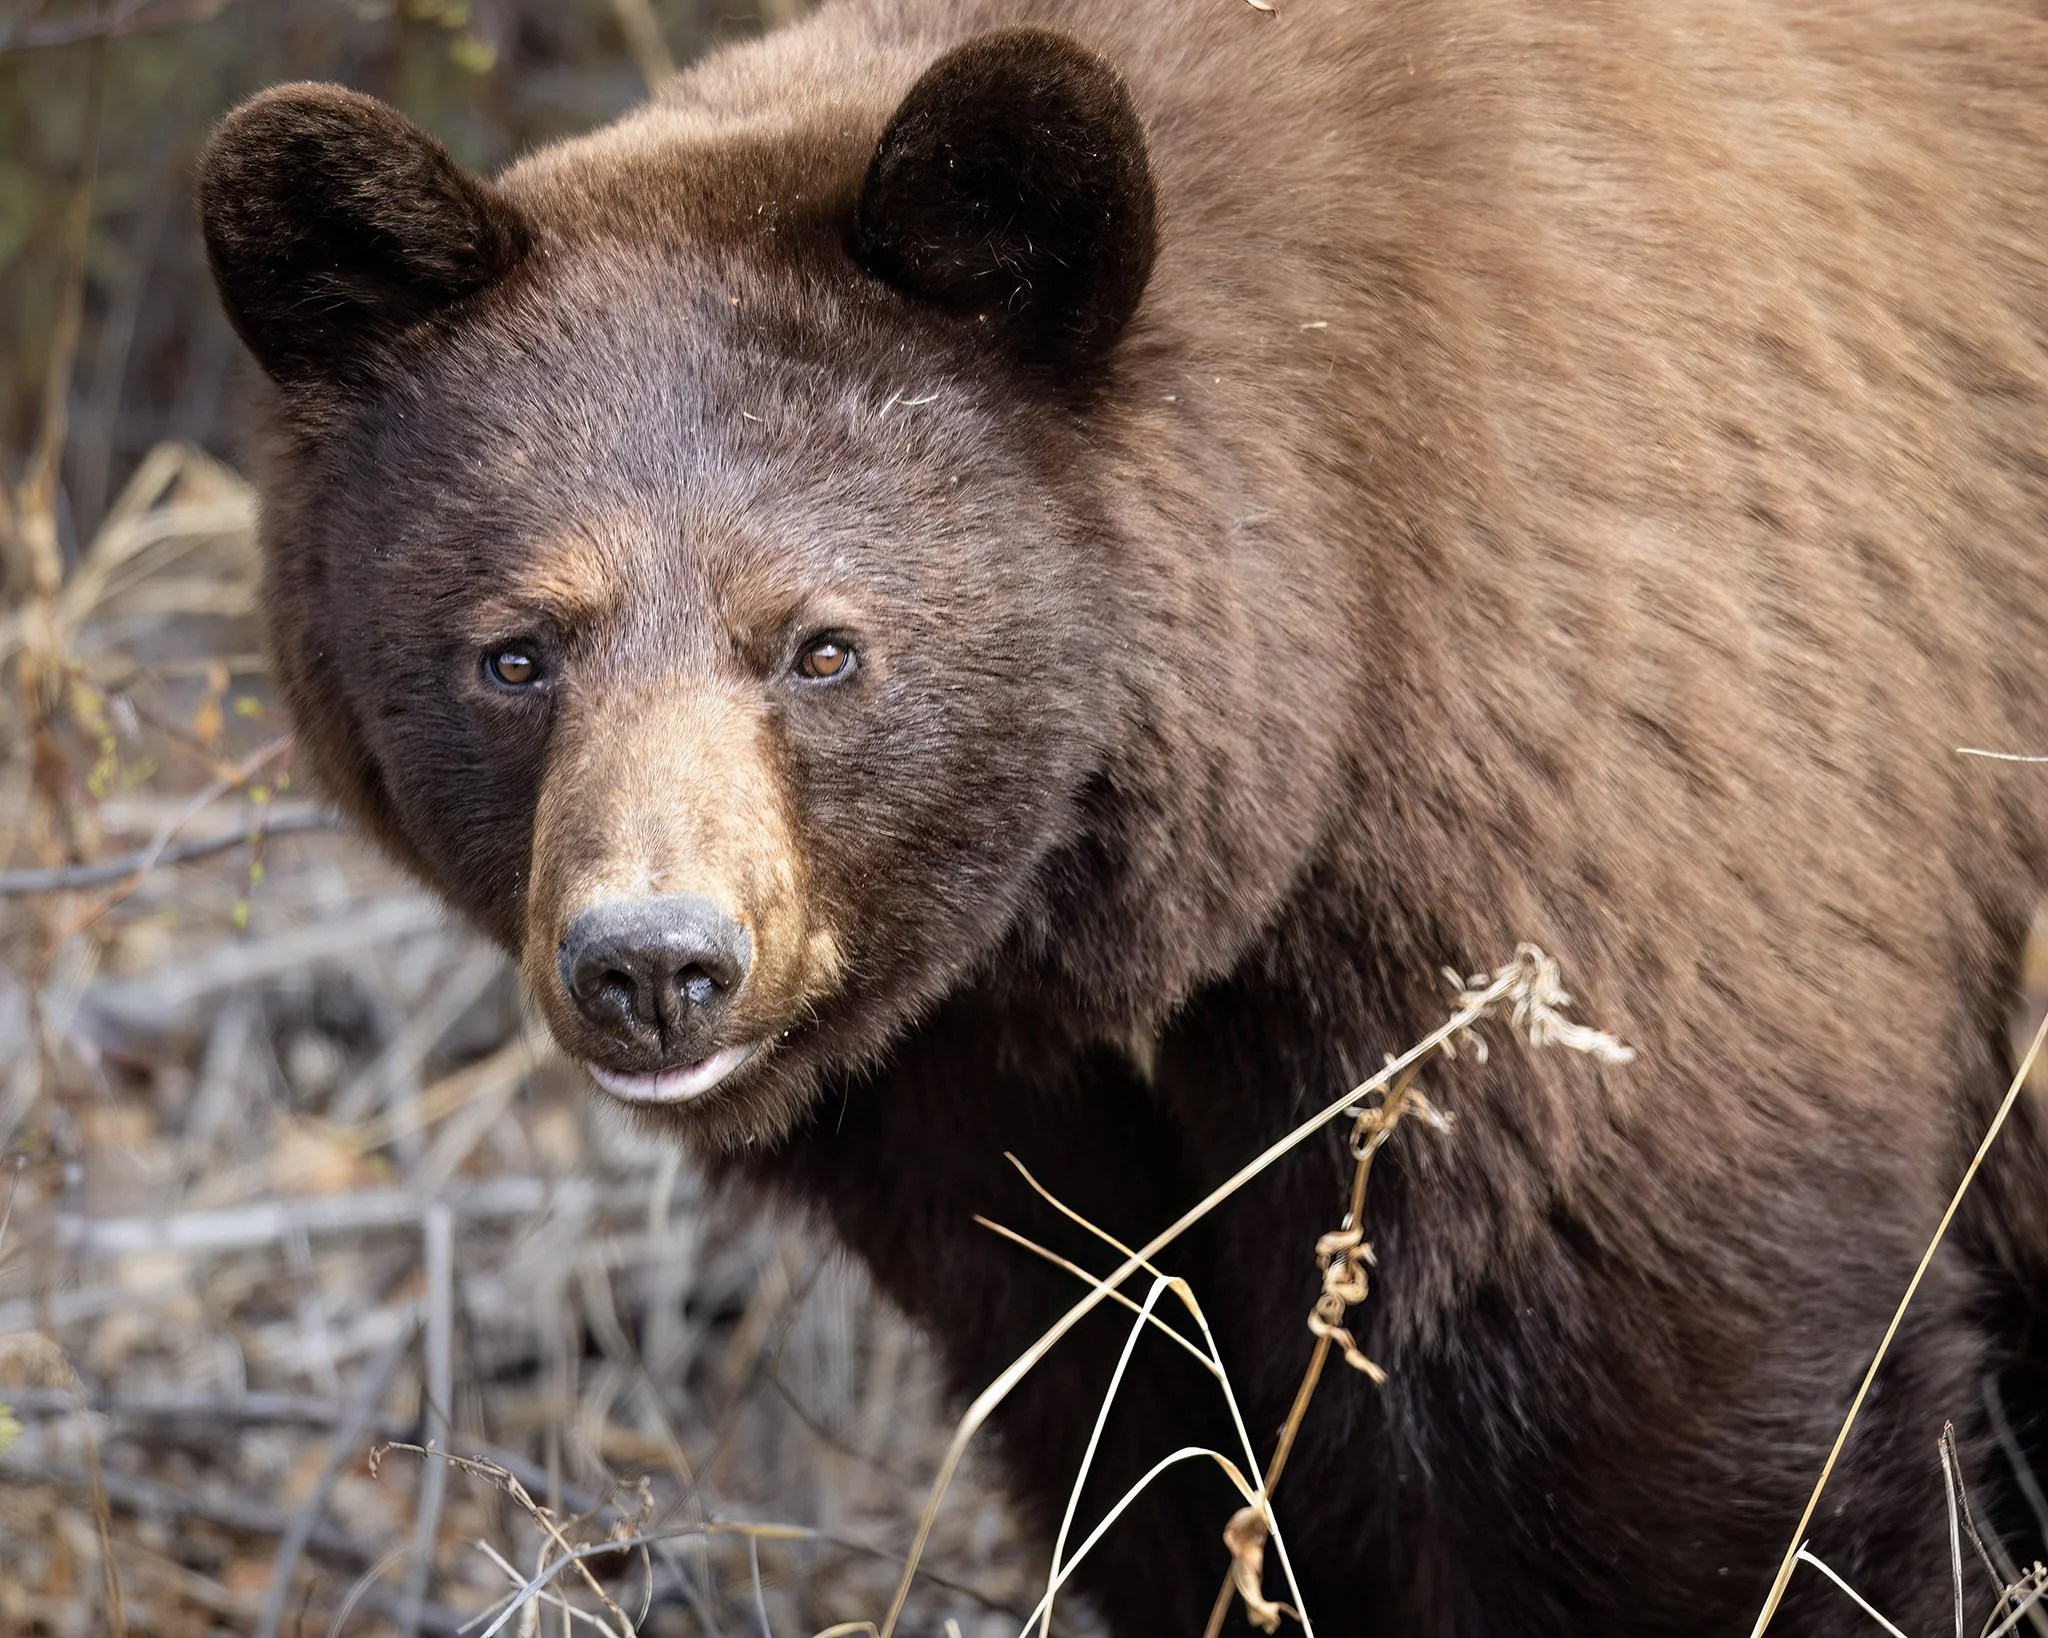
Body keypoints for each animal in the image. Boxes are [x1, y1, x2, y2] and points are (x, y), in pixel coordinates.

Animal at [194, 2, 2048, 1633]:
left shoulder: (1601, 818)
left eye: (819, 644)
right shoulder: (982, 1117)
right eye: (515, 653)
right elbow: (1145, 1428)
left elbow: (1678, 1428)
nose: (652, 963)